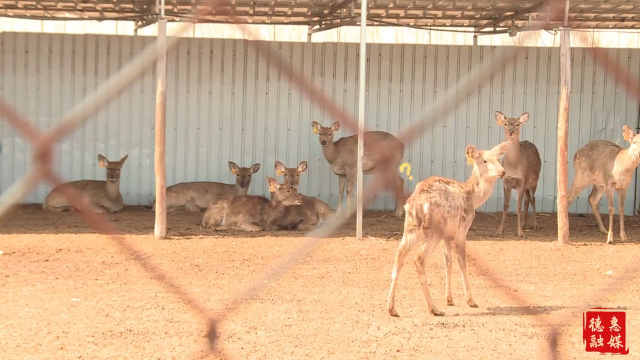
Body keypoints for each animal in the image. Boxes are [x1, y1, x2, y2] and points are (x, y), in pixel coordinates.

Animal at [384, 142, 510, 316]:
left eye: (498, 159)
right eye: (484, 160)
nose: (502, 171)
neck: (473, 198)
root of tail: (418, 203)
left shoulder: (447, 235)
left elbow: (448, 262)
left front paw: (449, 299)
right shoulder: (462, 229)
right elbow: (462, 262)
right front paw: (470, 300)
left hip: (411, 227)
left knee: (399, 256)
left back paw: (392, 308)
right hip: (434, 231)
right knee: (419, 258)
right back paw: (433, 308)